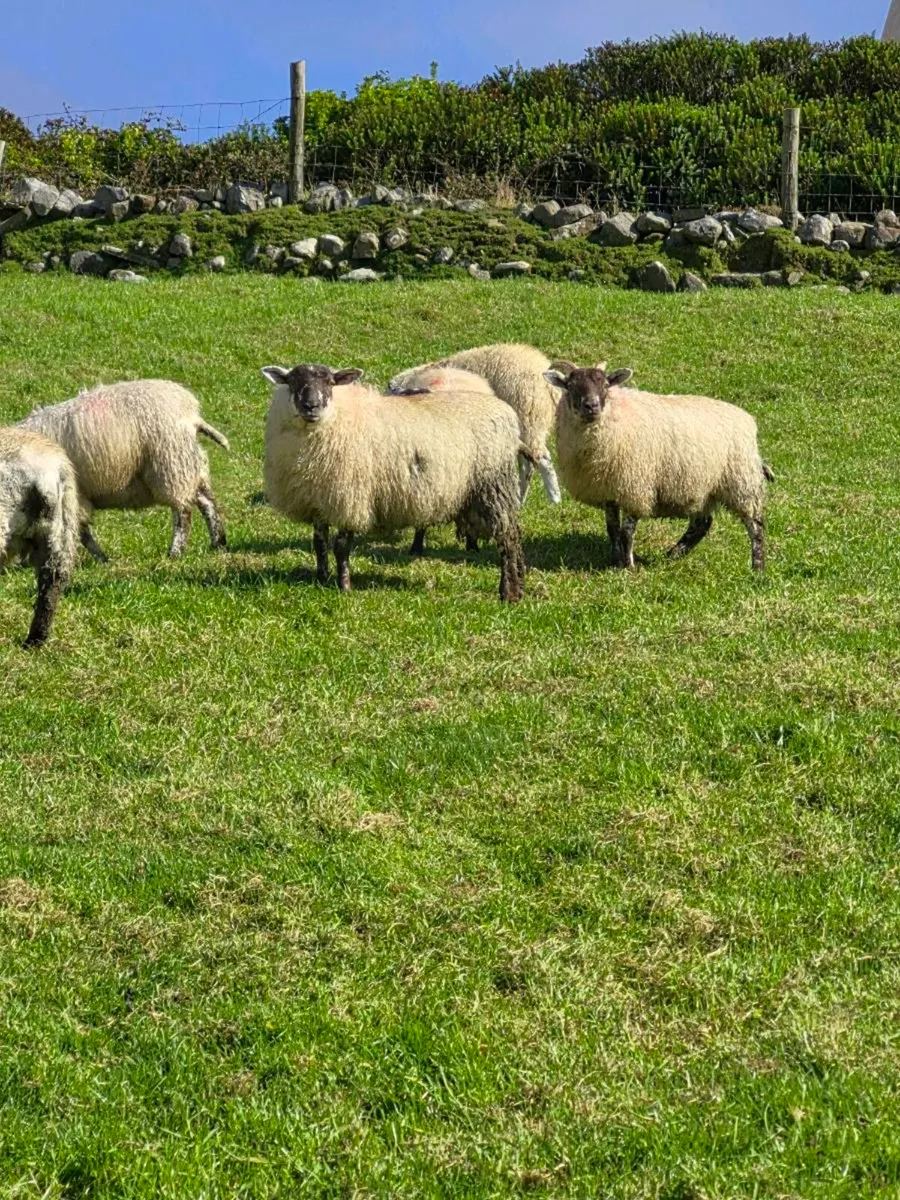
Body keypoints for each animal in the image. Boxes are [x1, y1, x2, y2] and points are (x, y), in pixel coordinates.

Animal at [18, 380, 229, 561]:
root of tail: (191, 412)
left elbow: (80, 531)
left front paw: (100, 559)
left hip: (171, 465)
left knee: (183, 512)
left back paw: (175, 552)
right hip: (190, 464)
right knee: (207, 501)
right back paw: (218, 543)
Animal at [262, 362, 527, 601]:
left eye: (330, 382)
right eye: (292, 382)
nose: (311, 406)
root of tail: (506, 412)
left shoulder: (351, 496)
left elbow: (341, 546)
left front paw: (344, 586)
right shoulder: (317, 499)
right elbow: (319, 544)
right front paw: (321, 578)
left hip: (494, 486)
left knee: (508, 540)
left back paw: (509, 593)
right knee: (514, 534)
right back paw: (521, 585)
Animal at [545, 361, 774, 571]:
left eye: (605, 384)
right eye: (570, 385)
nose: (591, 406)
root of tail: (748, 420)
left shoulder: (635, 486)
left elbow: (626, 531)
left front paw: (629, 567)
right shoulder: (608, 490)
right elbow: (612, 529)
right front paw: (615, 562)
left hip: (742, 482)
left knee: (755, 526)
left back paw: (757, 567)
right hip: (703, 487)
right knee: (702, 523)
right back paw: (673, 554)